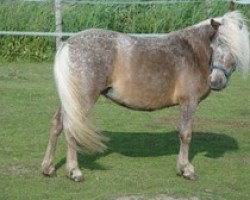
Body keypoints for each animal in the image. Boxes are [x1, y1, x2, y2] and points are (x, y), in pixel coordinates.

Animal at [42, 11, 249, 182]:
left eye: (235, 49)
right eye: (217, 44)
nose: (216, 81)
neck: (193, 52)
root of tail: (68, 44)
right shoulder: (189, 102)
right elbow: (186, 134)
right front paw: (186, 169)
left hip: (71, 100)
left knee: (57, 124)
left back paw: (48, 168)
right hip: (83, 99)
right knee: (70, 128)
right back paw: (74, 172)